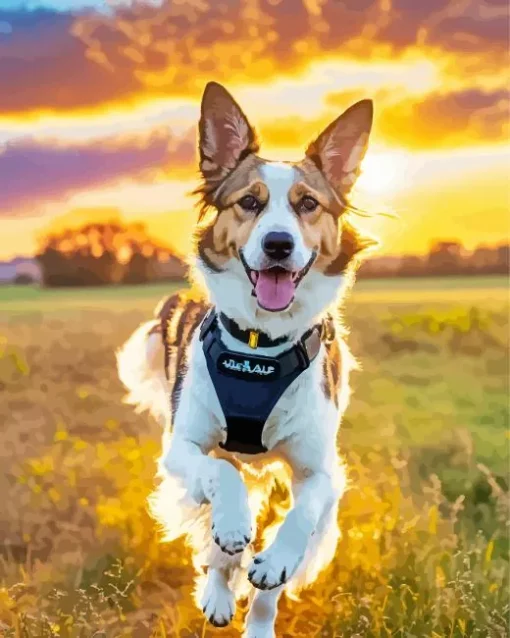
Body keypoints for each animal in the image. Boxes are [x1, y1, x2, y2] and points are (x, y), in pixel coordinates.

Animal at [117, 82, 376, 636]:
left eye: (307, 204)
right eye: (250, 202)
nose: (278, 244)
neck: (261, 343)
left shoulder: (321, 470)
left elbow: (297, 524)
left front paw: (272, 566)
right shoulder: (181, 447)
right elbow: (222, 475)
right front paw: (235, 528)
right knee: (218, 532)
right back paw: (219, 588)